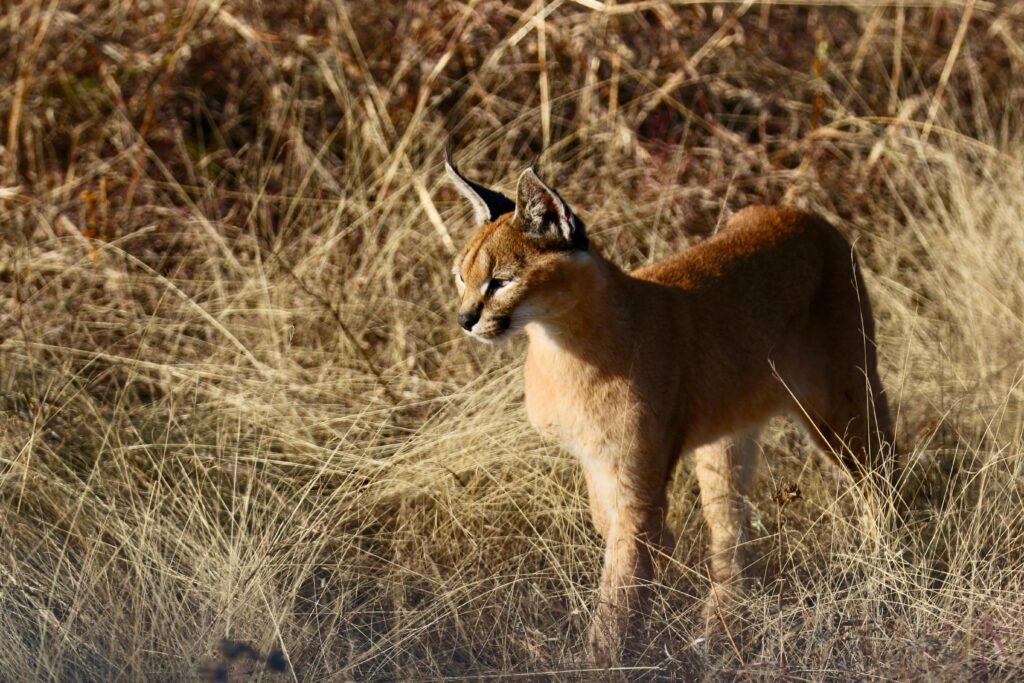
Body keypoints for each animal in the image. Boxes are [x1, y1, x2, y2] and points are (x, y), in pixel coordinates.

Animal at [444, 148, 892, 663]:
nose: (465, 318)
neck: (563, 340)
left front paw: (604, 658)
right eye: (461, 276)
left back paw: (888, 572)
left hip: (840, 402)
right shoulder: (598, 463)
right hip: (726, 437)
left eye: (501, 281)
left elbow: (622, 575)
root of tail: (802, 214)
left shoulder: (637, 478)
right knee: (730, 528)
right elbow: (615, 535)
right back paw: (720, 628)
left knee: (881, 476)